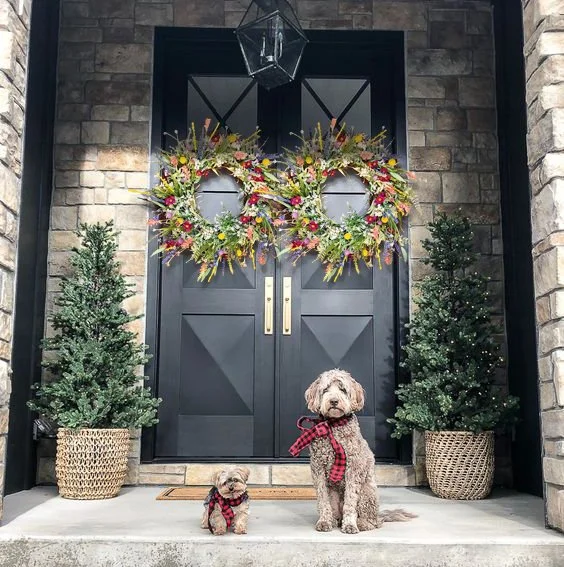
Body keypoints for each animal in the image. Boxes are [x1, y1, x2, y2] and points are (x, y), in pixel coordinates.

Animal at [290, 370, 414, 536]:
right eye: (326, 389)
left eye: (343, 389)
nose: (334, 401)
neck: (334, 425)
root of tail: (379, 515)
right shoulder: (318, 469)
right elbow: (323, 500)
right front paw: (324, 521)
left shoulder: (353, 470)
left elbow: (350, 501)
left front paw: (350, 525)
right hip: (336, 495)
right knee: (337, 512)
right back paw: (334, 520)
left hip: (367, 493)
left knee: (373, 522)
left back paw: (361, 523)